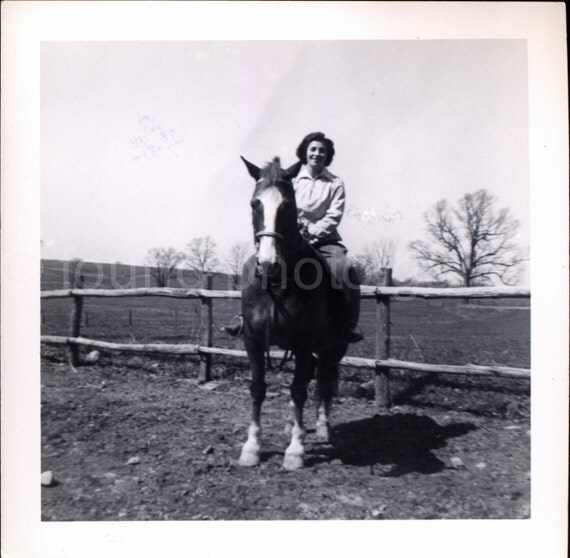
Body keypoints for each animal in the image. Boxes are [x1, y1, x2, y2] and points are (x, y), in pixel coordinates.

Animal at [236, 158, 350, 472]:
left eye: (287, 206)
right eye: (254, 204)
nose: (267, 264)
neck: (279, 282)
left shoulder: (303, 342)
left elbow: (300, 390)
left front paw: (295, 451)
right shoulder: (253, 340)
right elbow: (258, 388)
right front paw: (252, 447)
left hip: (334, 348)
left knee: (323, 379)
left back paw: (322, 427)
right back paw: (291, 424)